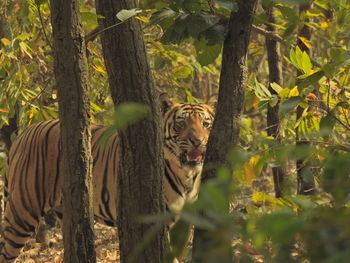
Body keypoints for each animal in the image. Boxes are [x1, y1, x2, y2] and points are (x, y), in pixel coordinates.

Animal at [0, 97, 215, 263]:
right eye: (181, 124)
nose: (198, 141)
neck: (187, 175)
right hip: (22, 212)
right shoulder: (156, 221)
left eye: (206, 124)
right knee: (6, 251)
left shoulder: (185, 221)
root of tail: (23, 134)